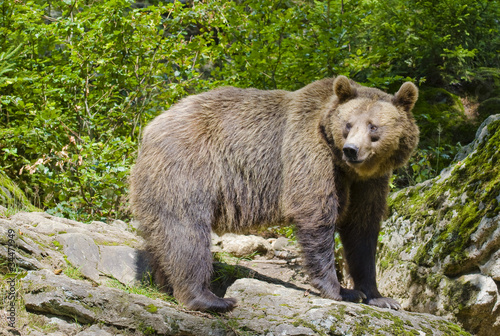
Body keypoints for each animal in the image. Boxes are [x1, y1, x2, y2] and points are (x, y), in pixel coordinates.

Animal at [129, 76, 418, 312]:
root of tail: (150, 128)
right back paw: (209, 298)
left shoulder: (369, 182)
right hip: (188, 165)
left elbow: (362, 229)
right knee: (186, 229)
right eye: (348, 124)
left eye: (373, 127)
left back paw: (165, 284)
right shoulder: (310, 152)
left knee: (161, 235)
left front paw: (380, 297)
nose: (352, 149)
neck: (347, 168)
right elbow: (315, 212)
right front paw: (340, 290)